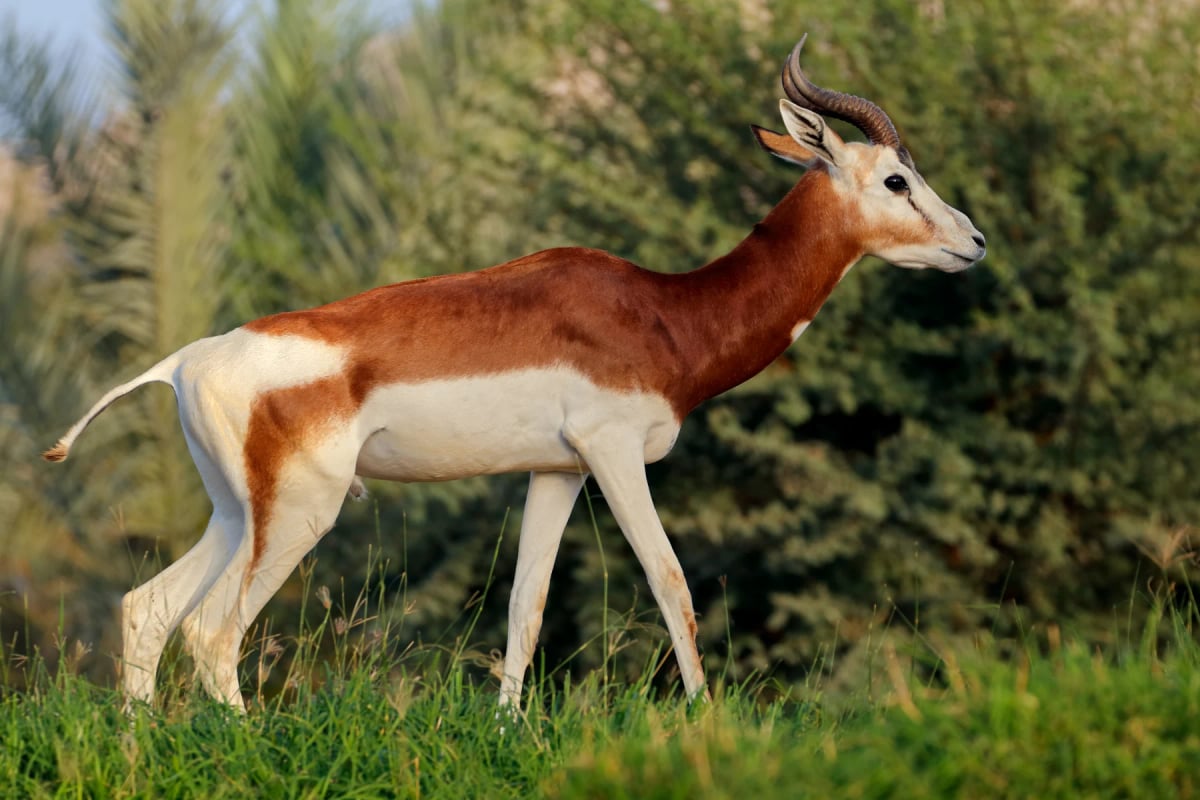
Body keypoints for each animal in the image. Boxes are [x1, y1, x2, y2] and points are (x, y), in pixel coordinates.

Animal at [43, 36, 984, 711]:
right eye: (895, 179)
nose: (974, 242)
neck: (665, 312)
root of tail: (184, 359)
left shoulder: (556, 471)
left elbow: (526, 607)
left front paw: (508, 730)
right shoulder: (613, 454)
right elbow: (671, 582)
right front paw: (705, 719)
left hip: (237, 512)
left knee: (147, 609)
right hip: (300, 513)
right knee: (211, 635)